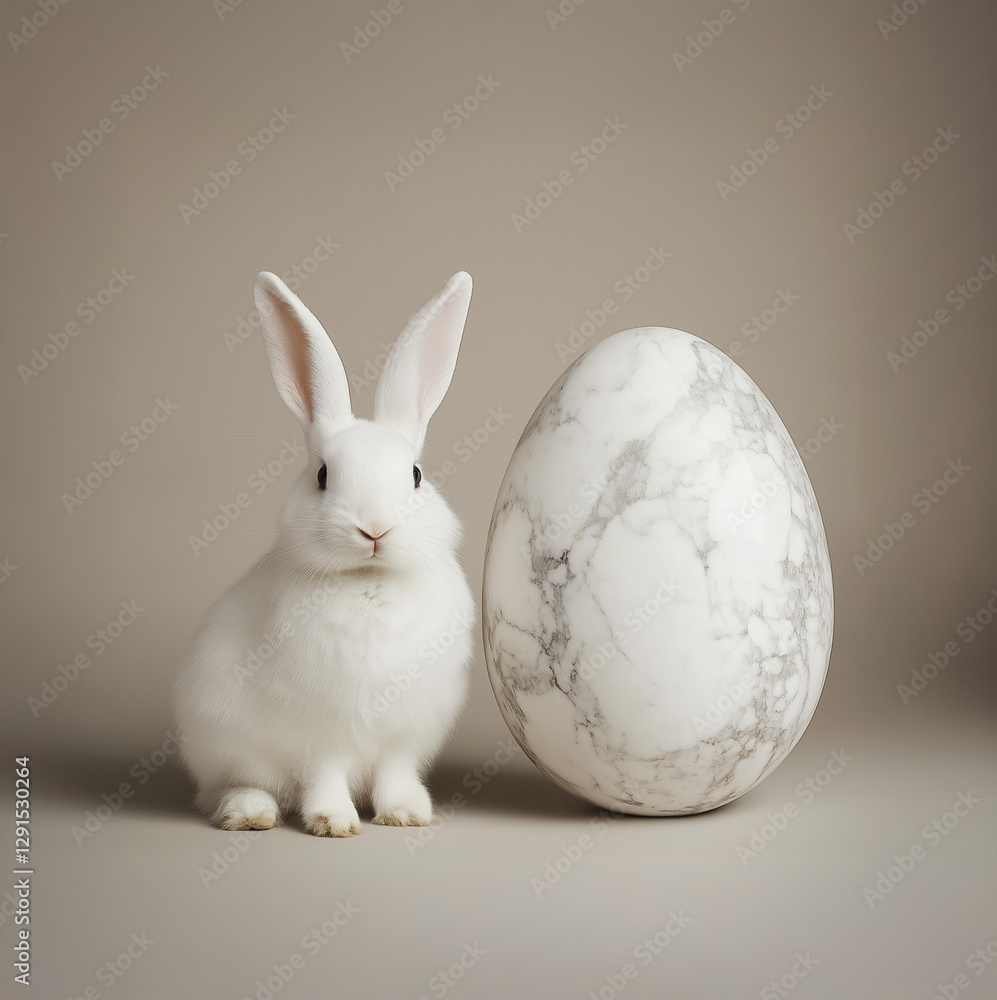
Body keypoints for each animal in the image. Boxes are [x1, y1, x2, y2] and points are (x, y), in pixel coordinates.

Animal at [172, 270, 476, 837]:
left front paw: (406, 814)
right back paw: (249, 814)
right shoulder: (319, 732)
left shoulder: (402, 736)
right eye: (322, 475)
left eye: (416, 475)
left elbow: (395, 771)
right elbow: (324, 772)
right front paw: (333, 822)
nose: (374, 528)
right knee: (230, 786)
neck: (367, 581)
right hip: (226, 746)